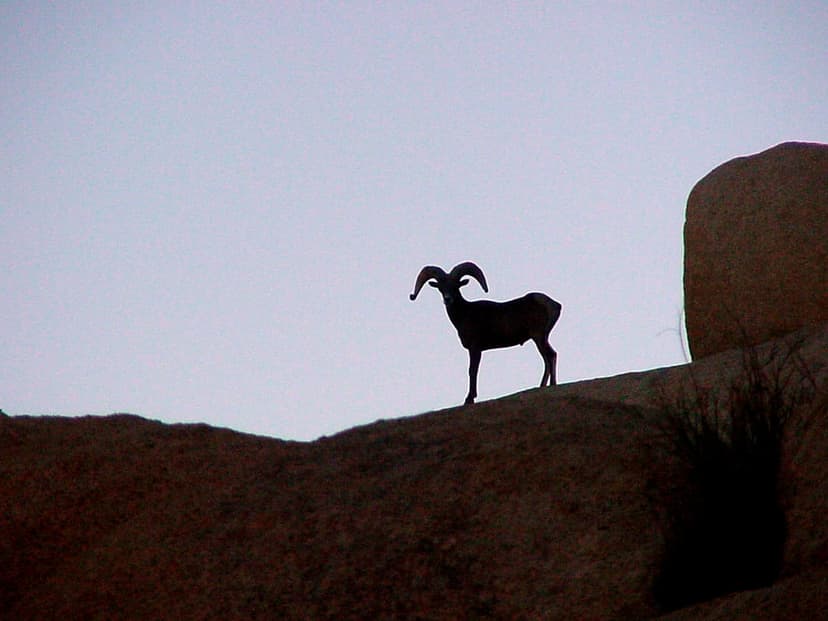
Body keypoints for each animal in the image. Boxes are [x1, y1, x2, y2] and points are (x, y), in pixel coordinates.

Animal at [410, 261, 562, 405]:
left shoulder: (475, 349)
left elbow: (472, 370)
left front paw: (469, 399)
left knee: (550, 356)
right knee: (549, 357)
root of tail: (554, 304)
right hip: (541, 338)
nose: (448, 299)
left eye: (456, 286)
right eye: (441, 288)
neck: (464, 314)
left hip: (538, 337)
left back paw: (550, 385)